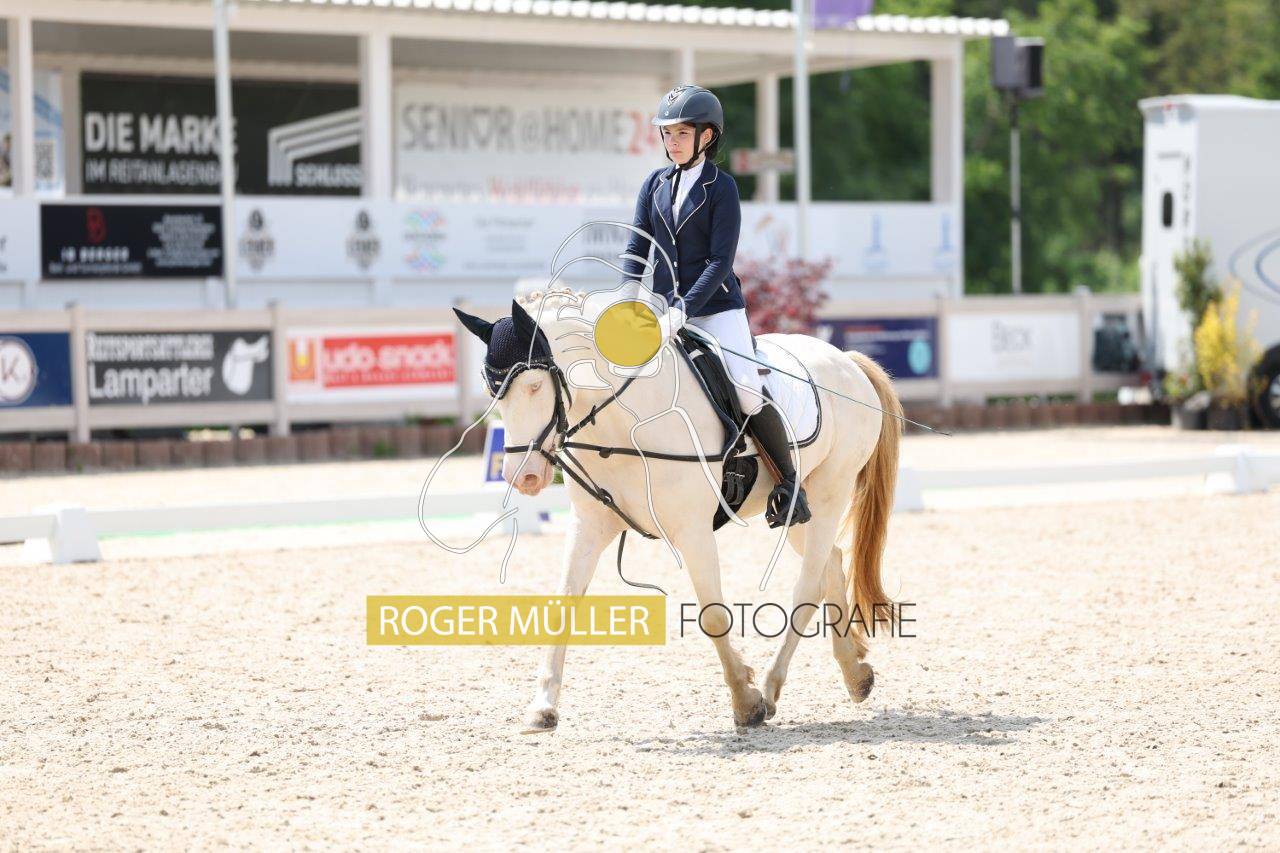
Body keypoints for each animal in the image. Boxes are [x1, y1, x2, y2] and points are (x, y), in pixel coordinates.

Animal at [453, 285, 902, 730]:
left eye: (533, 386)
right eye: (494, 391)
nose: (521, 476)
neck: (623, 425)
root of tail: (846, 360)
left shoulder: (693, 530)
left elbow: (713, 615)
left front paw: (746, 701)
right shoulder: (589, 525)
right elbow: (563, 604)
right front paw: (542, 707)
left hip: (829, 491)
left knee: (808, 583)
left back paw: (773, 688)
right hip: (797, 513)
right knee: (831, 564)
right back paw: (856, 674)